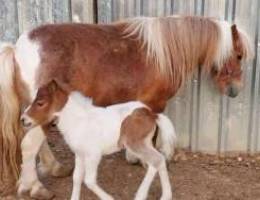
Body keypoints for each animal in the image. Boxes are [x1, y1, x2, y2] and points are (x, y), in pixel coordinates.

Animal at [20, 80, 177, 200]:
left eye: (40, 103)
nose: (23, 119)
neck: (78, 120)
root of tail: (151, 114)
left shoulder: (93, 155)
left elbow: (89, 180)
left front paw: (109, 198)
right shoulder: (79, 154)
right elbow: (77, 177)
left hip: (135, 144)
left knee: (157, 160)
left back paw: (143, 195)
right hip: (145, 143)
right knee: (157, 161)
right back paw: (164, 196)